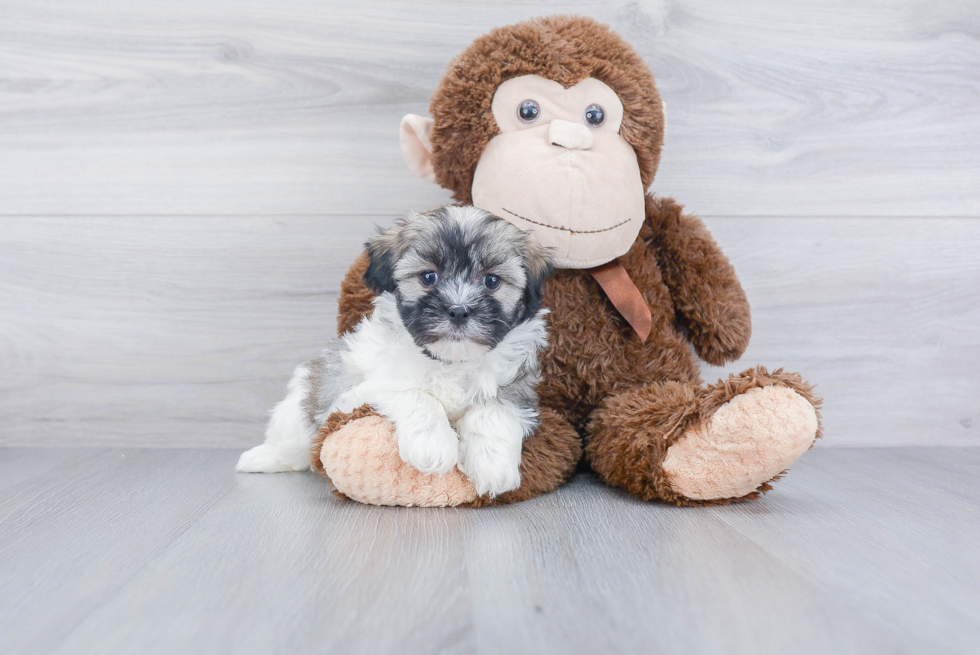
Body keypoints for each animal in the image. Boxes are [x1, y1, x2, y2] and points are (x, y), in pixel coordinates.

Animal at [237, 205, 556, 498]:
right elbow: (413, 393)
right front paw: (433, 445)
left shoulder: (517, 388)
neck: (450, 362)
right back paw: (260, 458)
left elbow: (493, 411)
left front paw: (493, 465)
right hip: (300, 411)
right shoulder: (355, 391)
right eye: (428, 277)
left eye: (491, 281)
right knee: (292, 444)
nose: (458, 310)